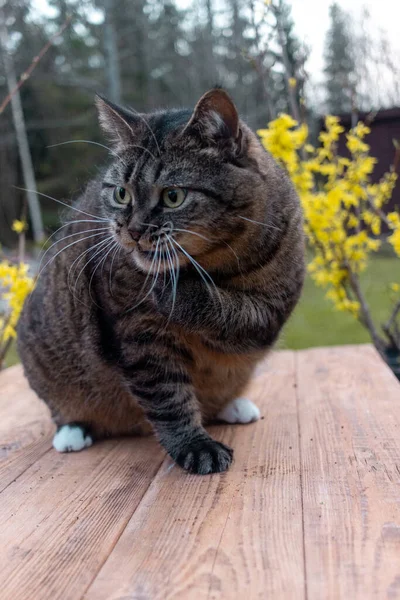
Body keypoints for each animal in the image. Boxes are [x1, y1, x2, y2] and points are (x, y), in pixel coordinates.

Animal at [17, 88, 304, 474]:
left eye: (173, 196)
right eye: (121, 193)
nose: (133, 230)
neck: (215, 266)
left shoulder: (273, 308)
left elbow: (235, 313)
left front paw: (177, 293)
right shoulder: (139, 335)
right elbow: (168, 398)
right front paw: (195, 445)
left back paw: (233, 405)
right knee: (63, 408)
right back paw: (72, 433)